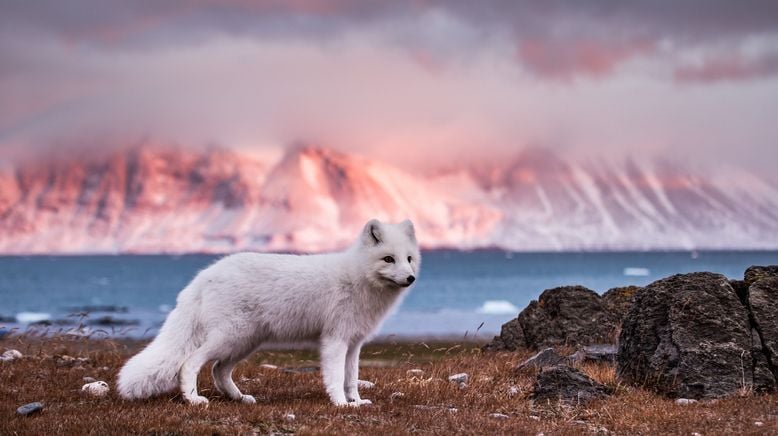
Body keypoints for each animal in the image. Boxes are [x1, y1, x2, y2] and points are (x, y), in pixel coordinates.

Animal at [116, 220, 418, 408]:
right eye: (388, 259)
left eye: (409, 259)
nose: (411, 278)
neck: (359, 277)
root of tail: (204, 275)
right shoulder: (335, 340)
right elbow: (334, 378)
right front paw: (341, 405)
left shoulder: (354, 343)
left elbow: (352, 378)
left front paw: (356, 401)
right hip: (230, 338)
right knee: (190, 363)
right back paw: (193, 400)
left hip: (245, 341)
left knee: (218, 370)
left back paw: (240, 398)